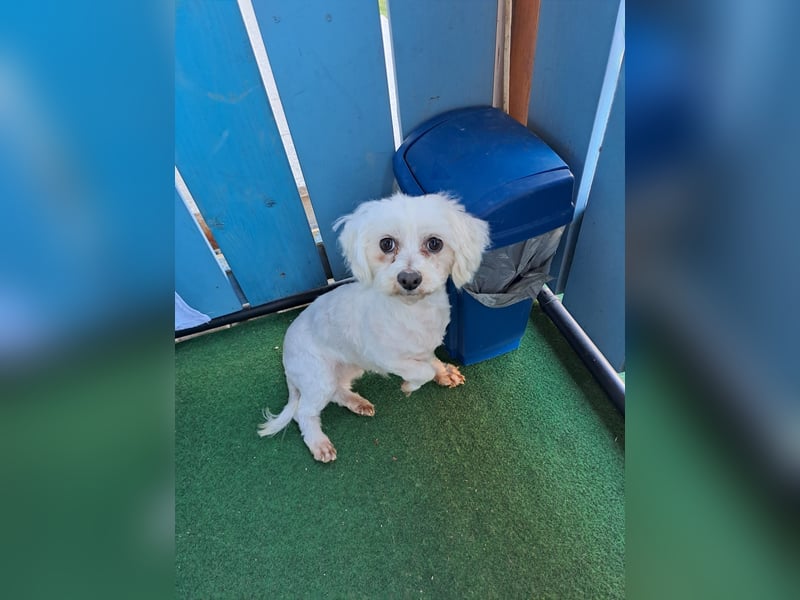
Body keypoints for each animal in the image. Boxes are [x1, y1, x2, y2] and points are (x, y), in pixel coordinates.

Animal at [257, 192, 490, 462]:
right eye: (386, 244)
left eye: (435, 243)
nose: (409, 278)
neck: (413, 313)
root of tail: (286, 358)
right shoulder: (385, 358)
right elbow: (422, 371)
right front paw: (410, 385)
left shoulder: (426, 346)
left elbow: (431, 361)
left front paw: (444, 372)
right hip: (318, 377)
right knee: (303, 412)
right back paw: (318, 442)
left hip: (348, 368)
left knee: (337, 391)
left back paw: (356, 402)